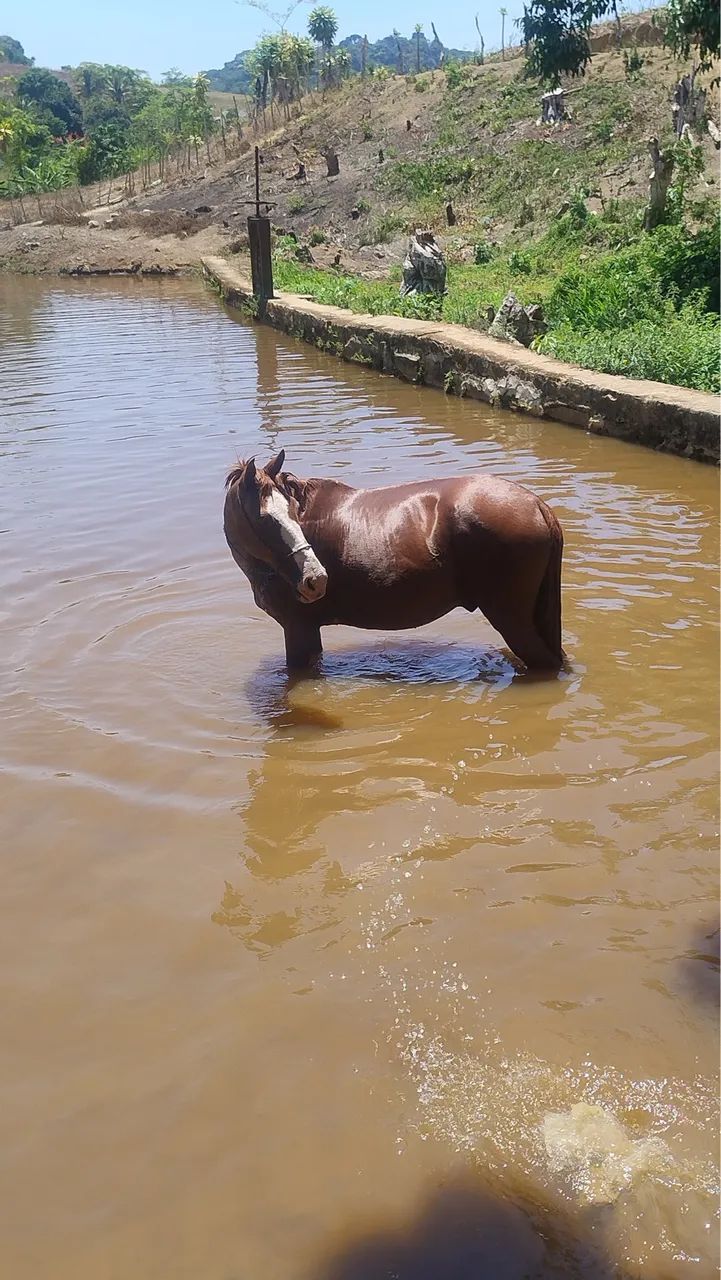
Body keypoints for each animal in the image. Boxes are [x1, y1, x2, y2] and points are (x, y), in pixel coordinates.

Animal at [223, 450, 564, 674]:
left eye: (294, 510)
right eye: (264, 519)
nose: (315, 580)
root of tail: (536, 504)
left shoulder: (299, 629)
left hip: (511, 618)